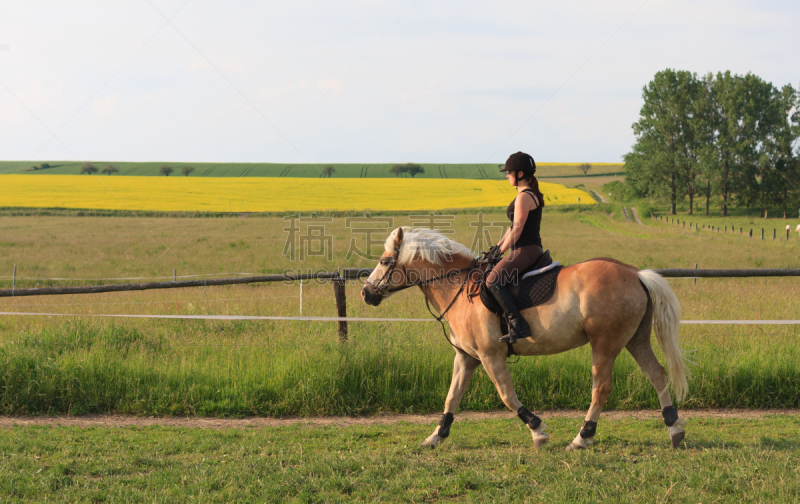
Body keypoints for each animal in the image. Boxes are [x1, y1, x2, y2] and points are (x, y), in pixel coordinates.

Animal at [360, 226, 688, 450]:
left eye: (385, 261)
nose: (366, 293)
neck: (458, 287)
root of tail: (635, 273)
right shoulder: (466, 358)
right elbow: (452, 397)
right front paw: (435, 436)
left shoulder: (490, 356)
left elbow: (506, 395)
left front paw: (538, 429)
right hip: (635, 339)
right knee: (657, 374)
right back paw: (674, 429)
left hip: (605, 343)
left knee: (601, 388)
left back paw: (581, 438)